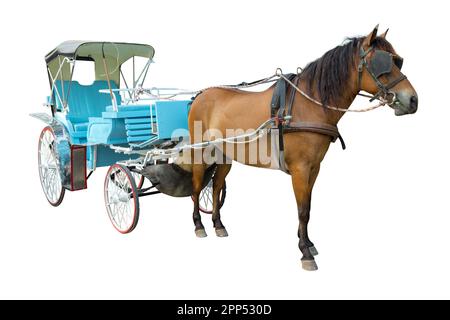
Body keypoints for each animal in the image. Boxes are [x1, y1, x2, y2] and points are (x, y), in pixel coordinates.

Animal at [185, 26, 416, 270]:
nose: (413, 100)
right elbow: (302, 210)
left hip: (224, 155)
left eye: (398, 61)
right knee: (197, 187)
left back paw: (218, 225)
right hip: (201, 151)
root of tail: (200, 95)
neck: (309, 105)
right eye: (381, 63)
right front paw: (305, 252)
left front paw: (308, 243)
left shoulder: (314, 168)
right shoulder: (300, 169)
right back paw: (199, 226)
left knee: (217, 186)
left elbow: (308, 207)